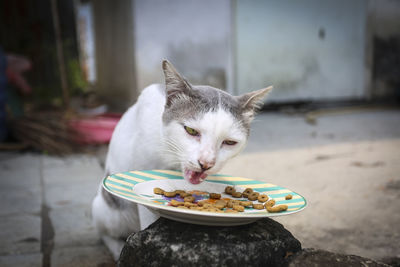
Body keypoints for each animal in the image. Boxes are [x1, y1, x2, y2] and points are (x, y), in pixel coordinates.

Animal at [90, 59, 272, 260]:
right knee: (103, 230)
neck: (173, 161)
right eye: (191, 131)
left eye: (230, 142)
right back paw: (116, 248)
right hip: (112, 211)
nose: (206, 163)